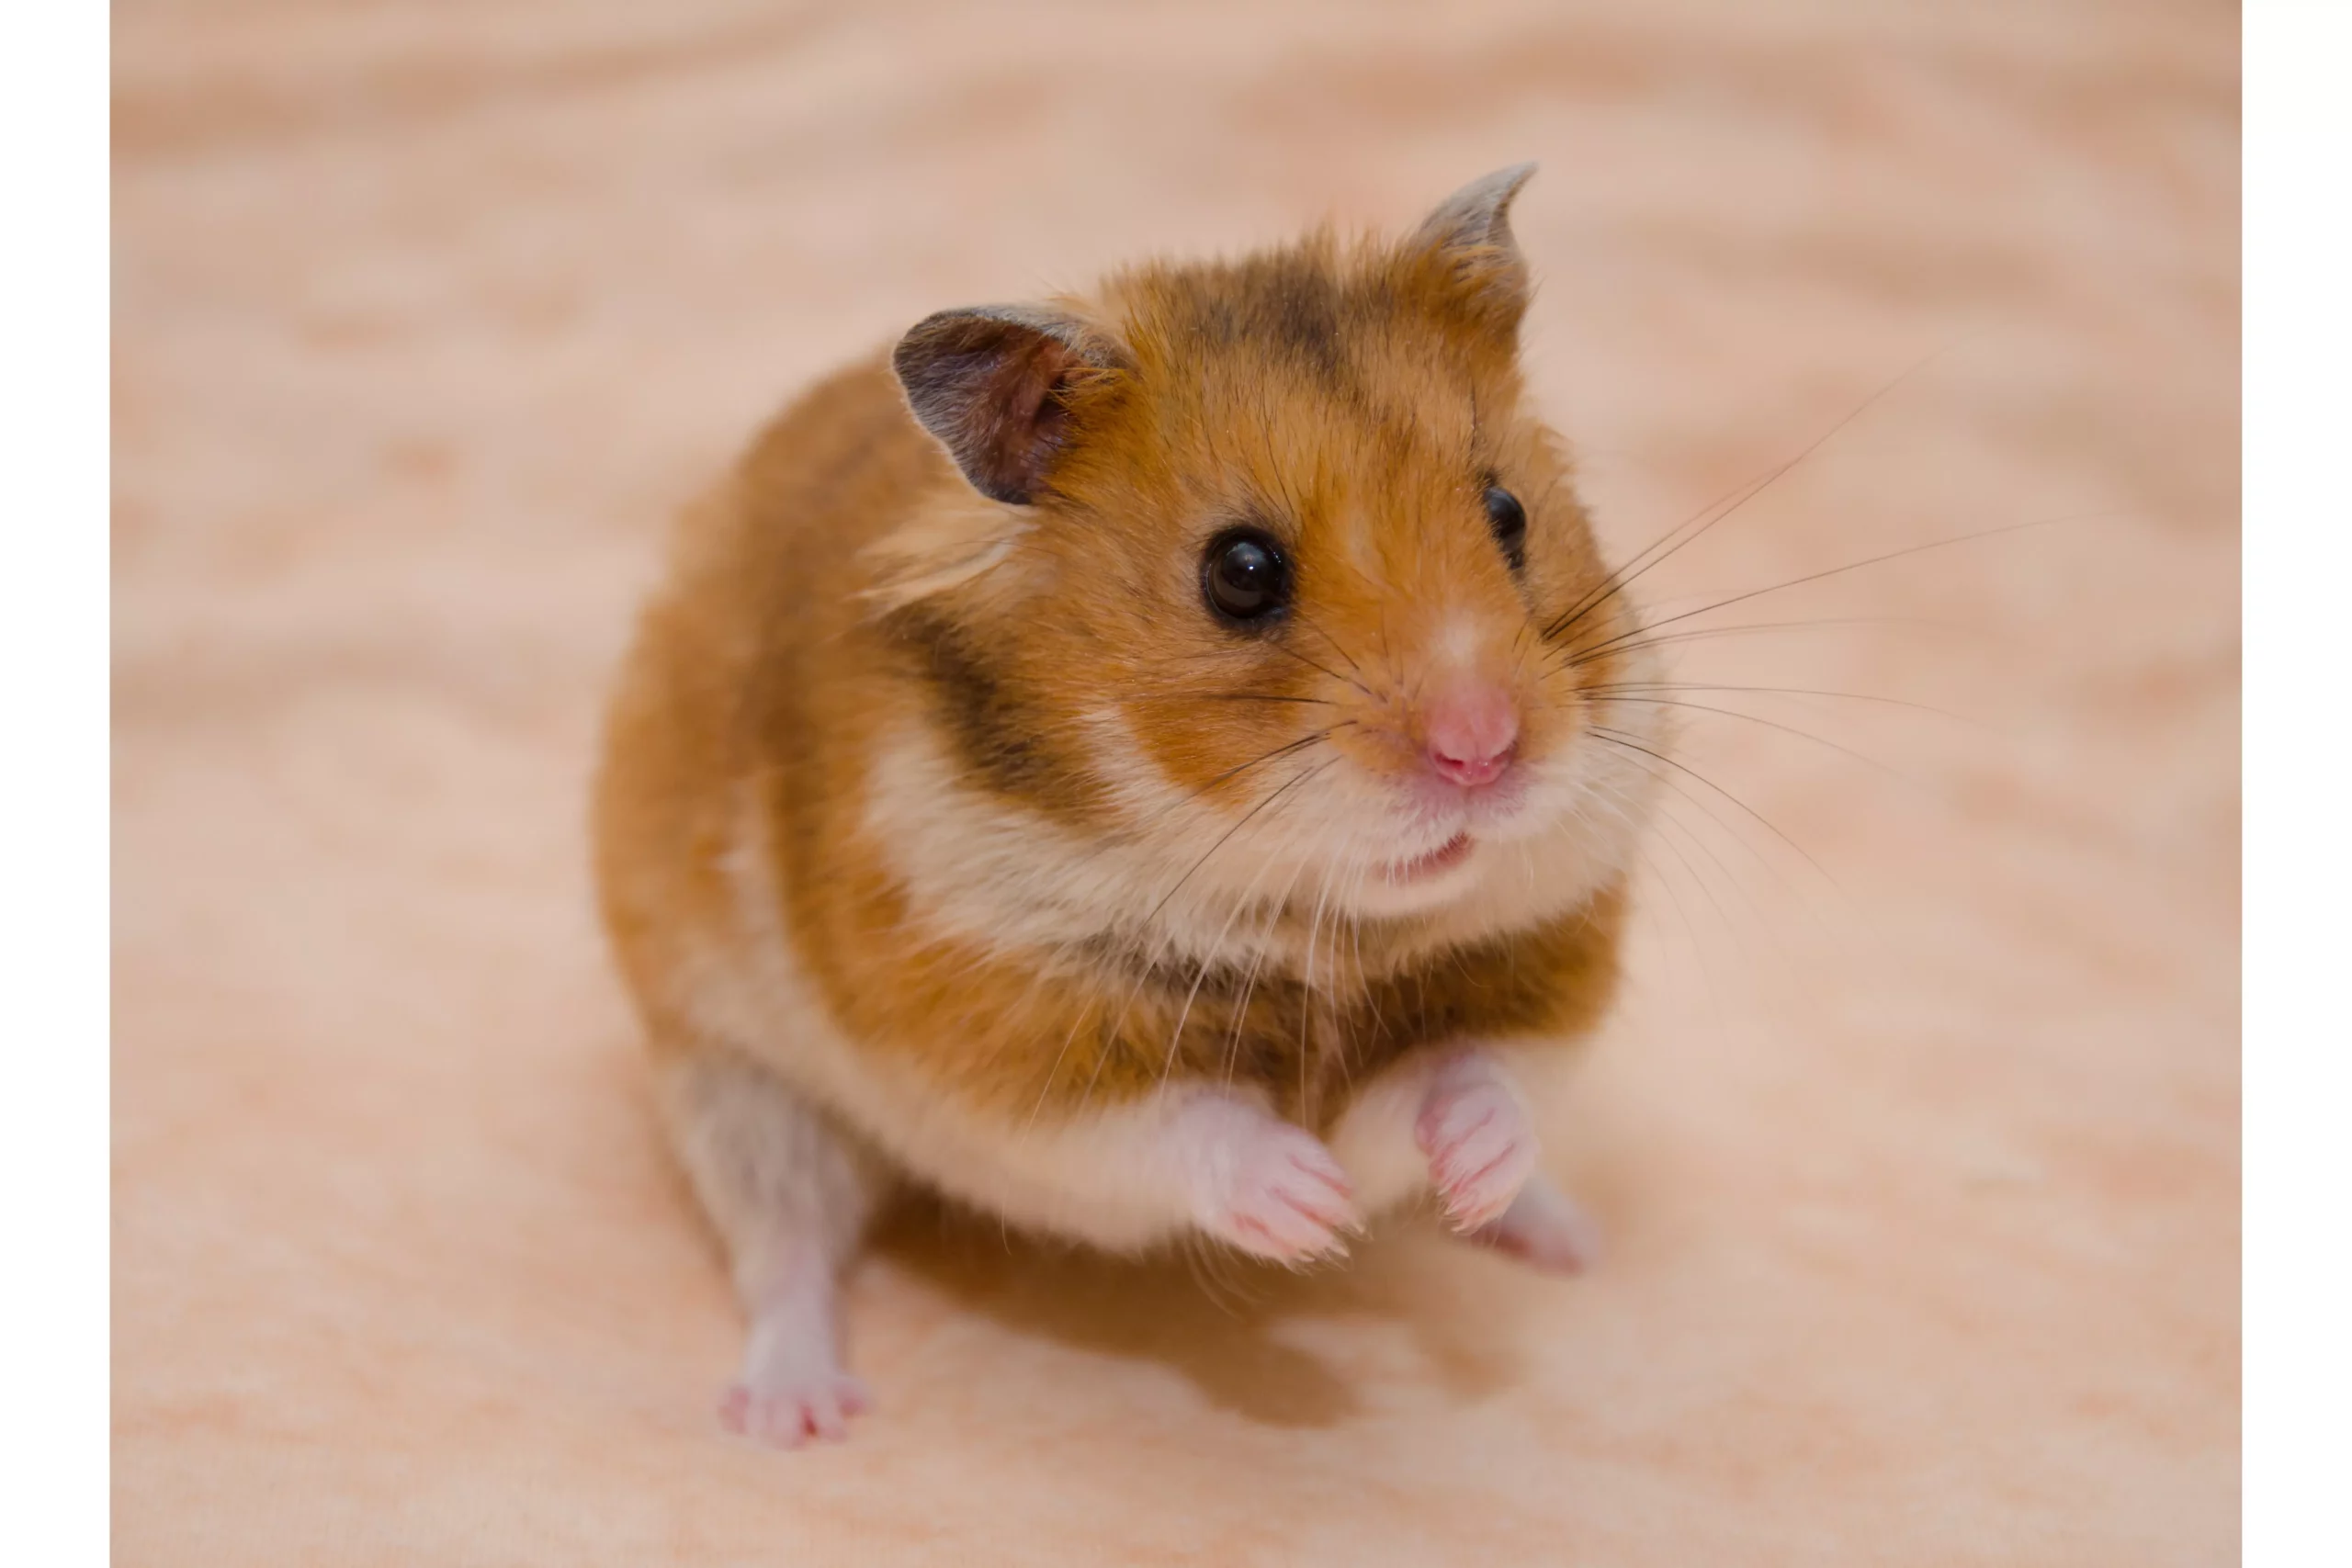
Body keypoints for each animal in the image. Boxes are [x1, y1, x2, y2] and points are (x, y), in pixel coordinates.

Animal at [592, 165, 1664, 1448]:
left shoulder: (1541, 962)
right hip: (733, 1083)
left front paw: (1450, 1173)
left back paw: (1564, 1238)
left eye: (1508, 514)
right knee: (784, 1250)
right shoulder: (999, 1041)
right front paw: (1314, 1209)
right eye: (1239, 573)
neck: (1317, 921)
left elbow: (1470, 1075)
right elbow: (1186, 1125)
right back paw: (791, 1418)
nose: (1483, 751)